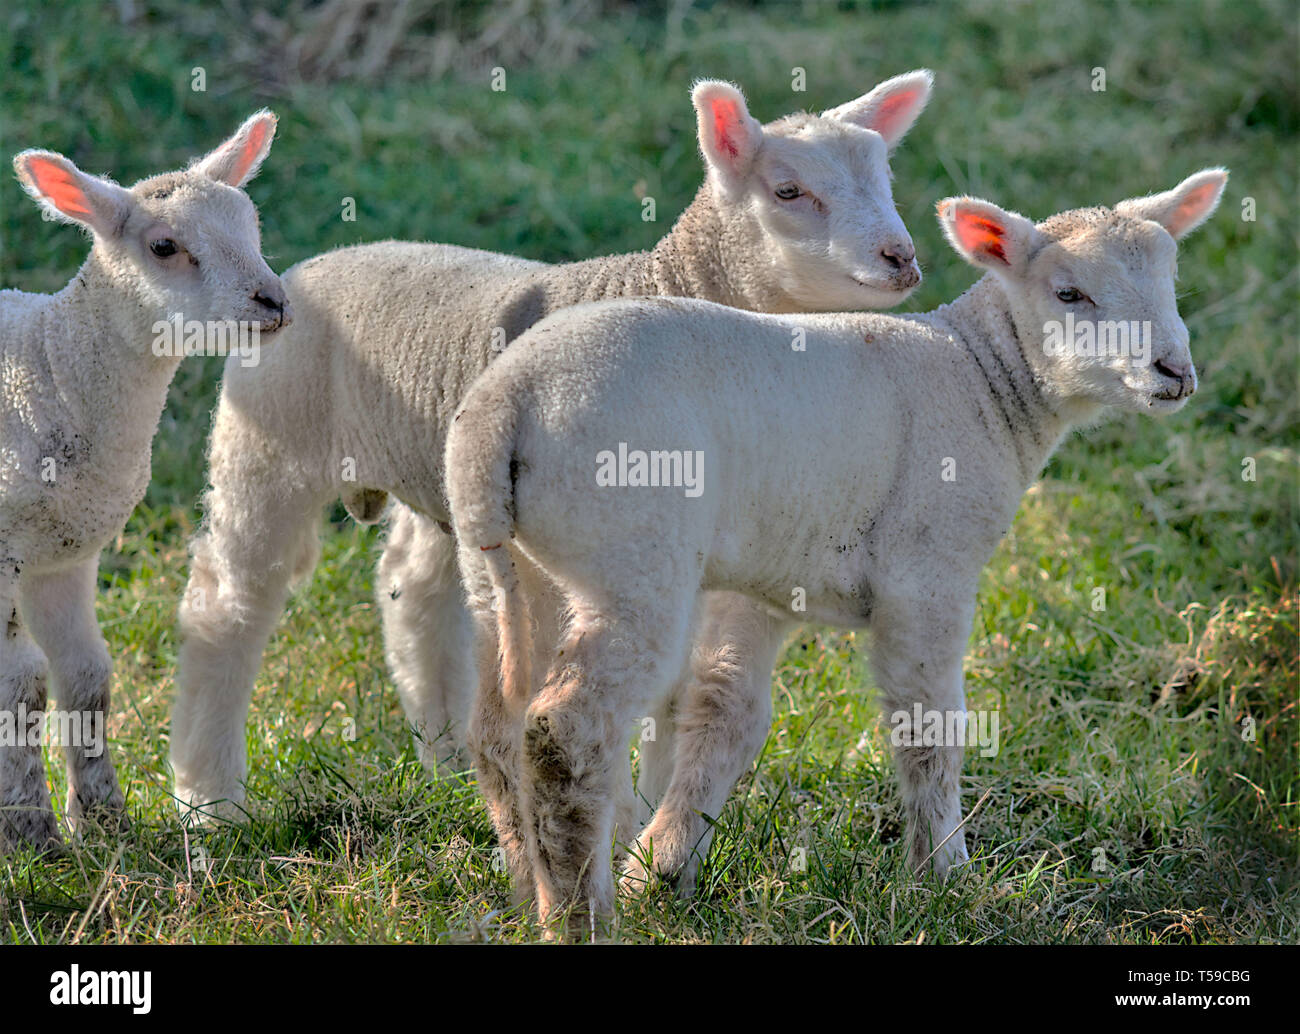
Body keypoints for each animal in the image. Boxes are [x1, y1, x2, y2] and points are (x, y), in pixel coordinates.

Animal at [0, 112, 288, 852]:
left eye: (252, 223)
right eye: (164, 246)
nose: (273, 301)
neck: (49, 366)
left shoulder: (66, 550)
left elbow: (85, 676)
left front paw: (105, 822)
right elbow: (20, 682)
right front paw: (31, 833)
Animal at [168, 72, 935, 824]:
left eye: (886, 179)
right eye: (788, 192)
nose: (902, 258)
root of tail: (306, 269)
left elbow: (678, 689)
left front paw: (649, 814)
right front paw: (618, 818)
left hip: (445, 470)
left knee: (416, 592)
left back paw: (445, 761)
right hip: (268, 444)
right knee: (228, 604)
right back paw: (210, 799)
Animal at [444, 169, 1228, 925]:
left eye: (1171, 280)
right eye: (1069, 293)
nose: (1174, 372)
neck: (981, 380)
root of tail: (504, 404)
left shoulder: (769, 576)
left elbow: (728, 717)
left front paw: (663, 868)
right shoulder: (928, 567)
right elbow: (929, 726)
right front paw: (945, 877)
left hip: (504, 562)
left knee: (498, 726)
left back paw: (531, 888)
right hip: (632, 553)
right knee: (566, 732)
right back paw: (580, 914)